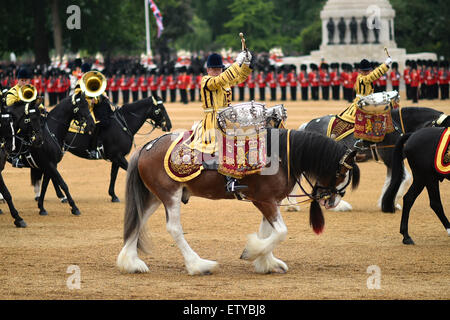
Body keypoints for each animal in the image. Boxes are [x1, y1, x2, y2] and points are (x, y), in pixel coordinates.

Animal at [40, 94, 172, 202]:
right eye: (161, 108)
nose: (169, 125)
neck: (123, 124)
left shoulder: (116, 158)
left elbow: (113, 175)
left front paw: (113, 195)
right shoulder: (118, 157)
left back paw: (60, 196)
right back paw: (61, 196)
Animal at [118, 102, 360, 276]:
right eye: (341, 173)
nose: (332, 201)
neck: (280, 155)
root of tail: (147, 146)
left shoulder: (268, 201)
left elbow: (268, 231)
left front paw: (266, 262)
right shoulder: (264, 200)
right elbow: (280, 232)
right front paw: (252, 252)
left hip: (155, 196)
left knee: (138, 220)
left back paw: (131, 263)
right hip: (170, 195)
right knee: (174, 229)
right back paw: (198, 265)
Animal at [298, 107, 450, 212]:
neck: (398, 127)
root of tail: (307, 125)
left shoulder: (392, 161)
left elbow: (396, 179)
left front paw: (390, 201)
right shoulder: (391, 159)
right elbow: (404, 178)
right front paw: (388, 202)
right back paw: (337, 205)